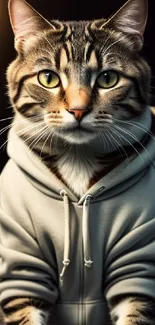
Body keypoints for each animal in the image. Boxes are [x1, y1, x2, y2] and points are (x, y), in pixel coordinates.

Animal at [0, 0, 155, 322]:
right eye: (48, 78)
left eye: (108, 78)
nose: (79, 109)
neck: (78, 158)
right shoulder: (21, 265)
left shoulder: (138, 262)